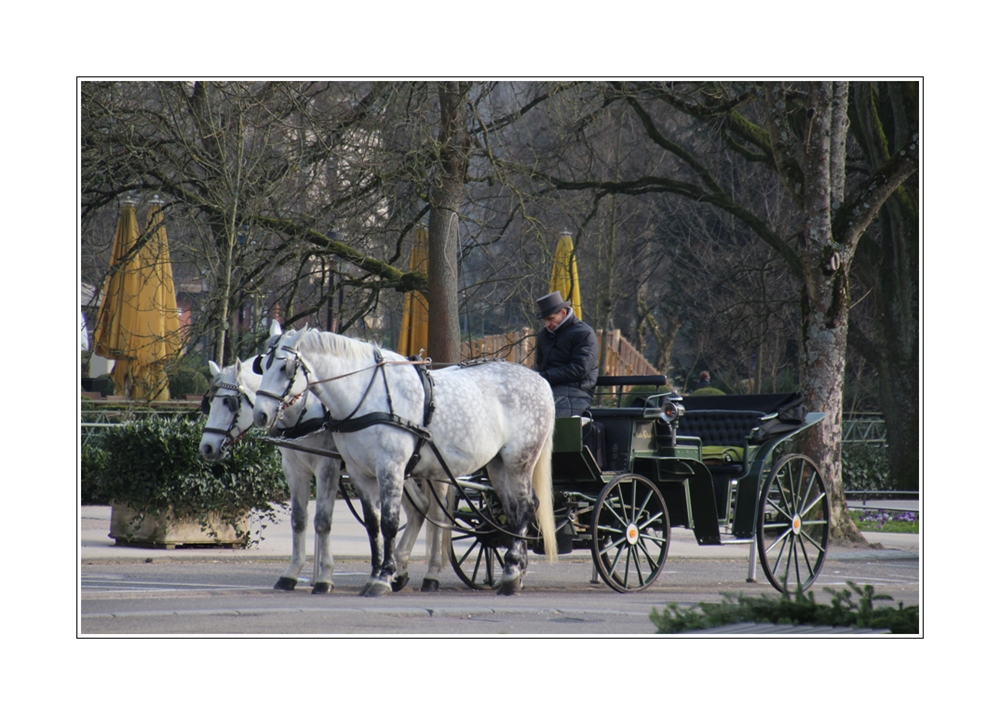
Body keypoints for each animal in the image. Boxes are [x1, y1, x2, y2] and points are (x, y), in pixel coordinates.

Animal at [254, 328, 560, 596]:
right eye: (261, 366)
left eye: (284, 368)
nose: (260, 414)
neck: (365, 395)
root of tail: (540, 380)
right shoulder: (357, 473)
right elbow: (371, 523)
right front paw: (377, 573)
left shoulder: (381, 468)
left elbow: (386, 522)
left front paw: (381, 577)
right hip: (496, 465)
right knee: (510, 511)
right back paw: (515, 572)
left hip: (519, 460)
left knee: (524, 507)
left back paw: (509, 573)